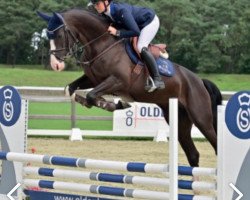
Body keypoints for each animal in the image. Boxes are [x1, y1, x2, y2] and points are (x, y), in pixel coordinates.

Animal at [36, 8, 221, 167]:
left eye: (59, 34)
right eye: (48, 36)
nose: (56, 64)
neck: (101, 44)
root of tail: (199, 81)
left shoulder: (119, 81)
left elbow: (92, 95)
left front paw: (114, 104)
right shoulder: (93, 79)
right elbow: (71, 90)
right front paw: (100, 102)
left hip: (201, 118)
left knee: (215, 143)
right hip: (178, 119)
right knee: (193, 154)